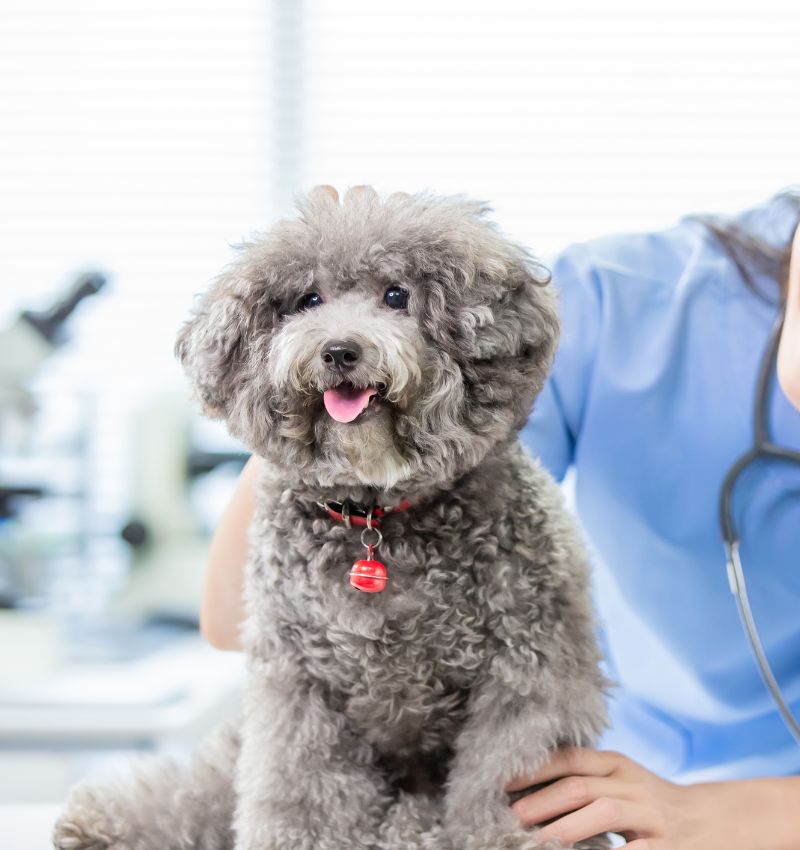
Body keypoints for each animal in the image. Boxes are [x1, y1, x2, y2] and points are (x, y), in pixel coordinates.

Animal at [53, 187, 608, 848]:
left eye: (396, 295)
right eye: (307, 301)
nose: (340, 350)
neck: (374, 516)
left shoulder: (525, 673)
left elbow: (502, 789)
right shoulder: (297, 688)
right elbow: (301, 793)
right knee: (202, 787)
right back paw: (99, 823)